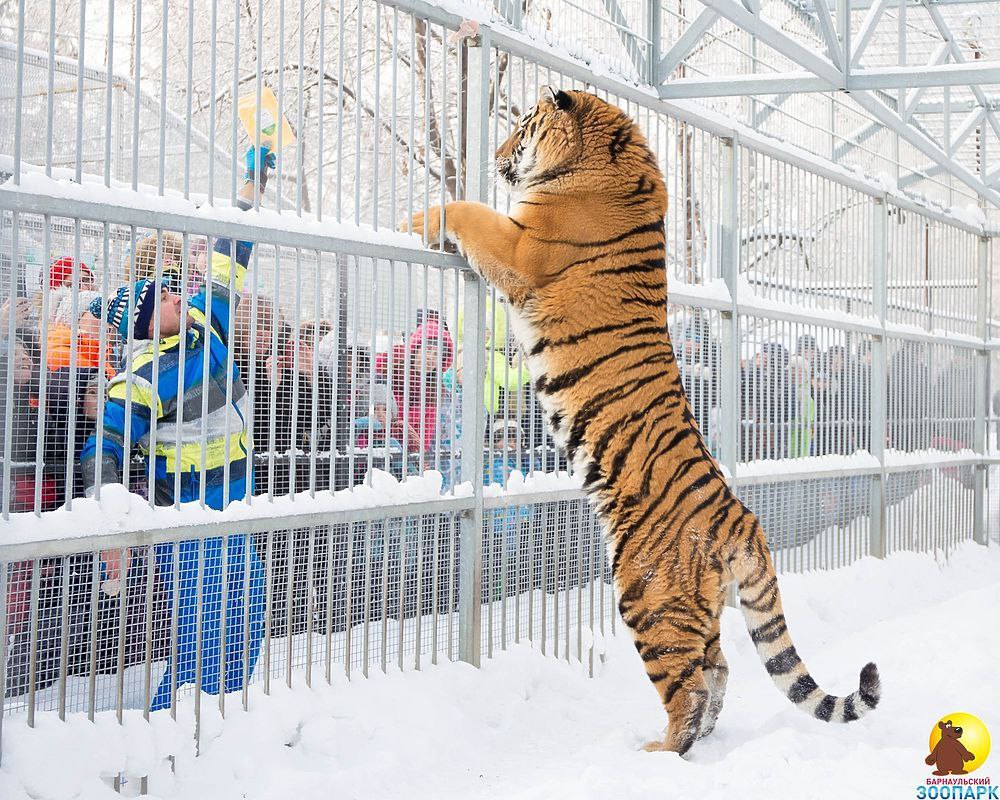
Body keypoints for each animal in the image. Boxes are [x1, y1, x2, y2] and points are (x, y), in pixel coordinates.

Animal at [402, 87, 880, 756]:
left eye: (522, 129)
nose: (497, 157)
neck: (608, 158)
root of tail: (743, 522)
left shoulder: (522, 246)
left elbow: (465, 209)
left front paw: (414, 220)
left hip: (645, 591)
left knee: (689, 684)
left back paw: (662, 750)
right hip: (698, 607)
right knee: (719, 669)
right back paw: (701, 738)